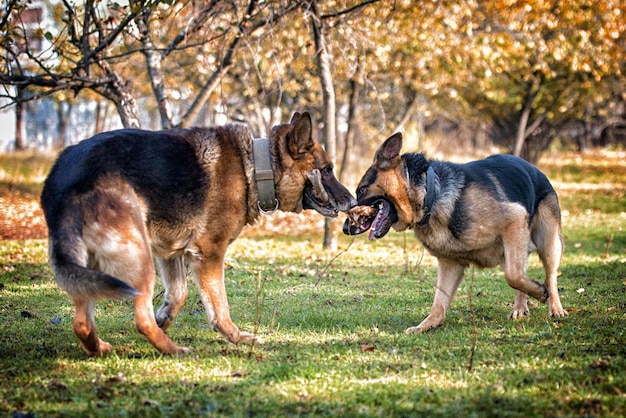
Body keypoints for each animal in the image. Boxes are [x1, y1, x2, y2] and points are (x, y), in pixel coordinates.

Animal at [42, 112, 356, 356]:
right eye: (327, 170)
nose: (353, 201)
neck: (255, 167)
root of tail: (66, 180)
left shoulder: (170, 252)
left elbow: (178, 294)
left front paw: (165, 318)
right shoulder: (209, 253)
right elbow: (219, 307)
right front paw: (237, 337)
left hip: (91, 264)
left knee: (81, 322)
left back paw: (101, 348)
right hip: (138, 256)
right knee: (140, 318)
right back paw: (173, 350)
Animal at [342, 134, 564, 334]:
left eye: (361, 190)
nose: (345, 228)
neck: (430, 195)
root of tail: (534, 168)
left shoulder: (514, 220)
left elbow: (513, 276)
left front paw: (540, 293)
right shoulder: (450, 264)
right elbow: (439, 302)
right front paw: (427, 325)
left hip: (546, 242)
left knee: (549, 276)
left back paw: (555, 309)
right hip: (512, 248)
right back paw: (520, 308)